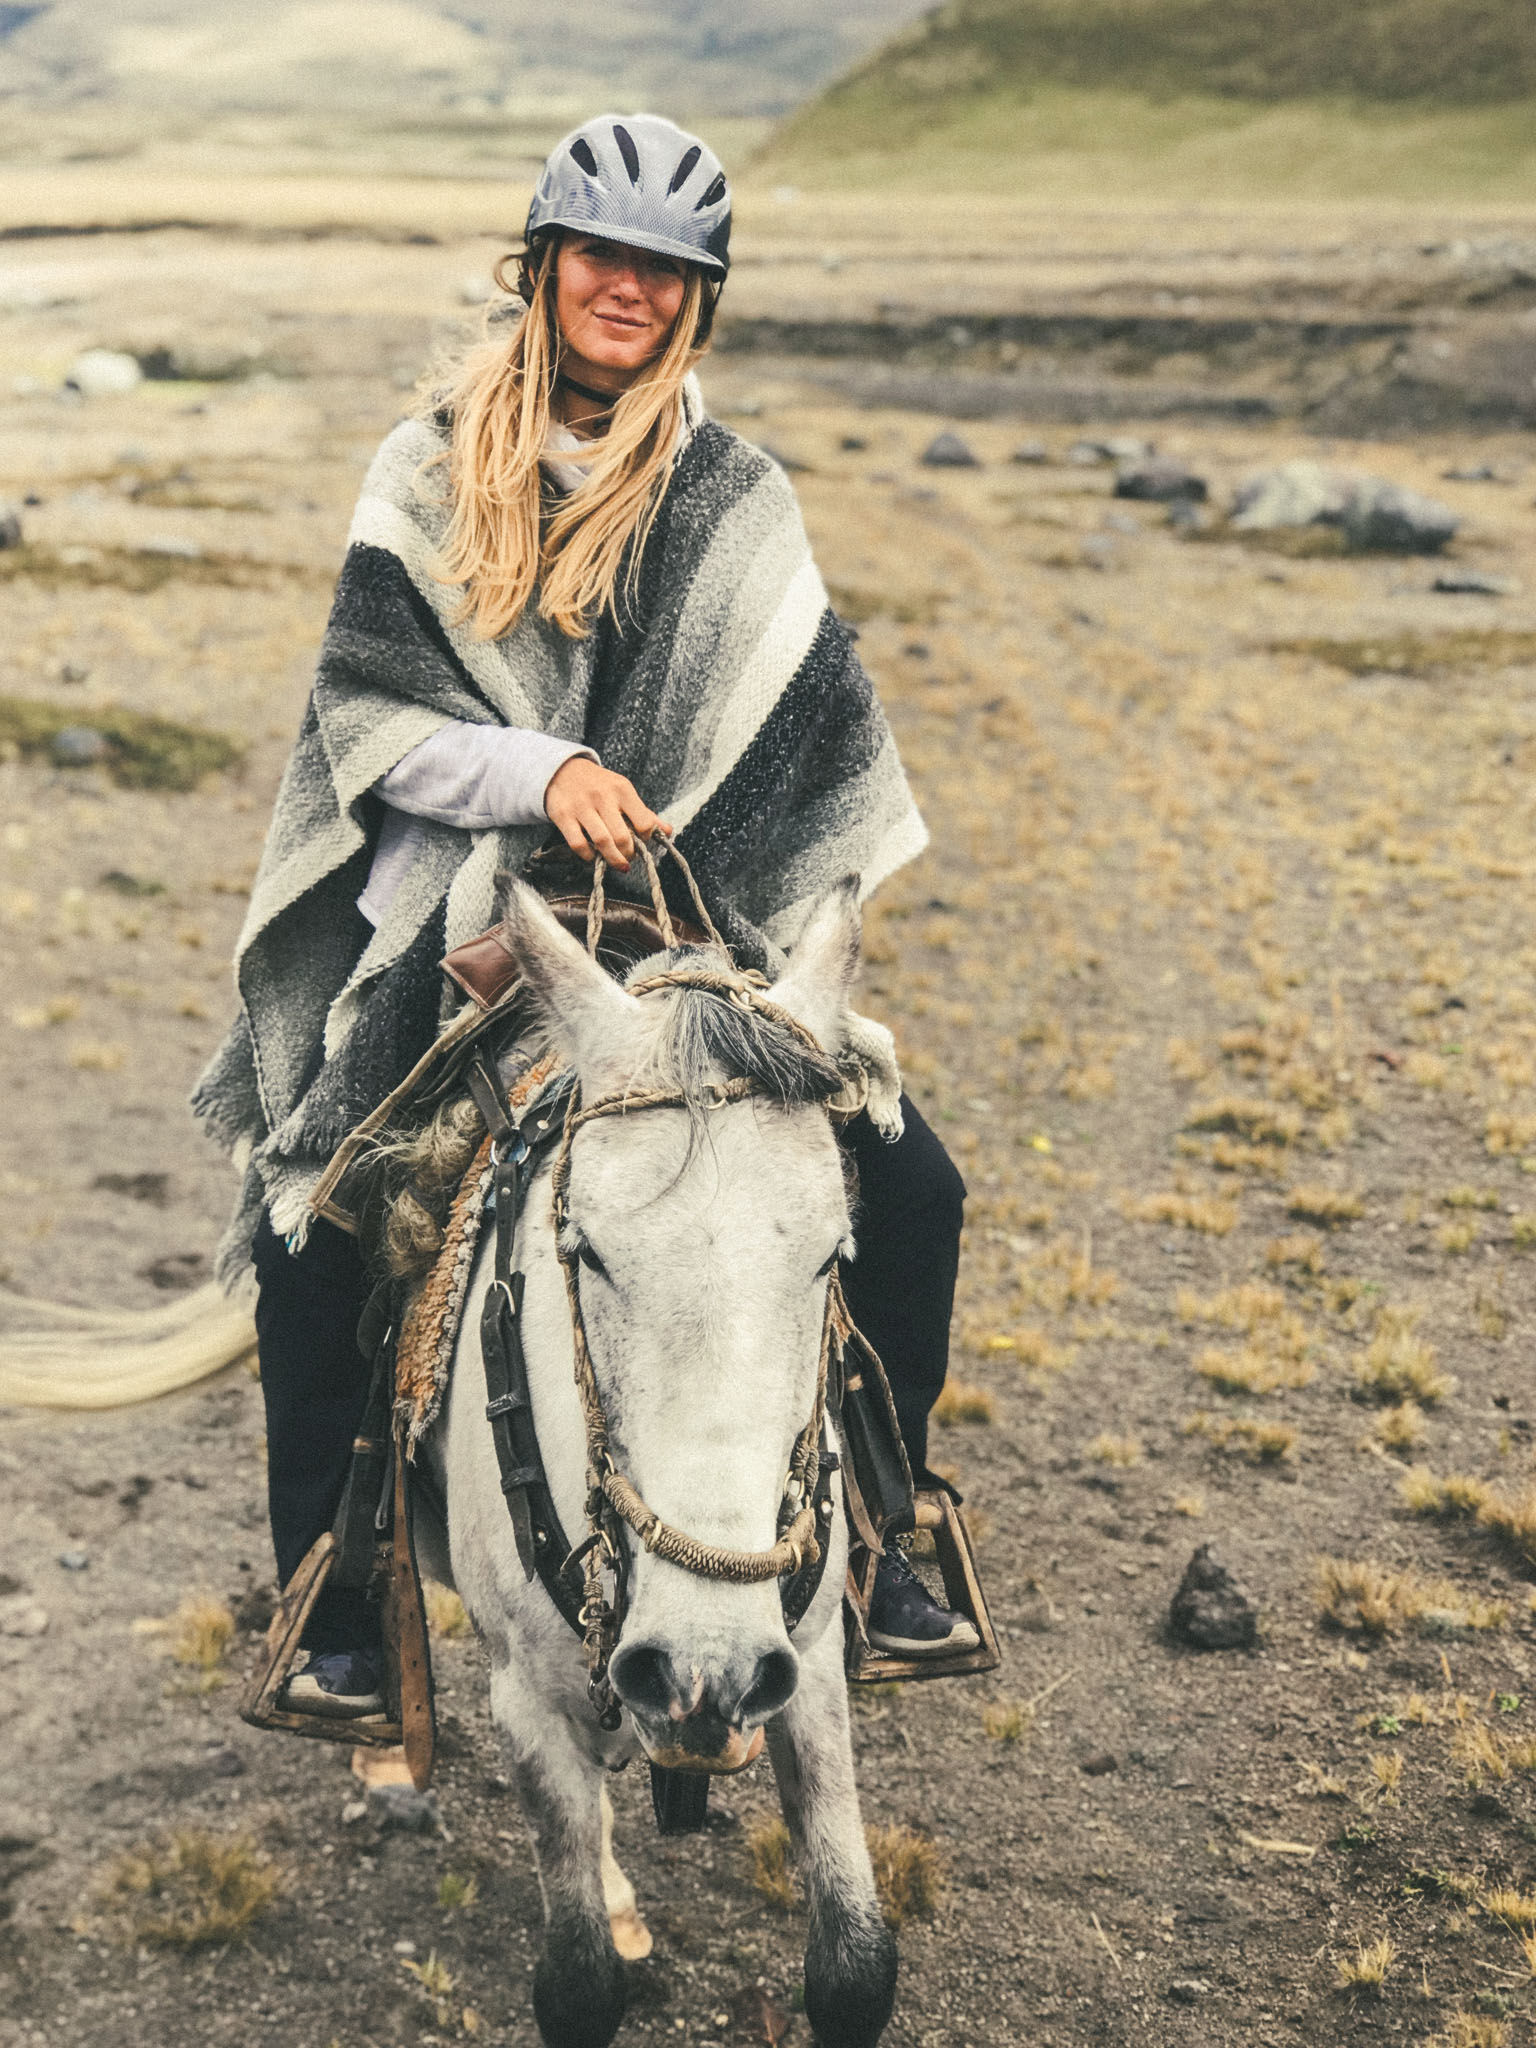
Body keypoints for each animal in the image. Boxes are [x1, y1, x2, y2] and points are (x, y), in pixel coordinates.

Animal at [423, 880, 901, 2048]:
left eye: (833, 1255)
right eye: (583, 1249)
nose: (701, 1666)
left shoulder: (806, 1661)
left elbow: (855, 1964)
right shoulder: (526, 1702)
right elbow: (579, 1982)